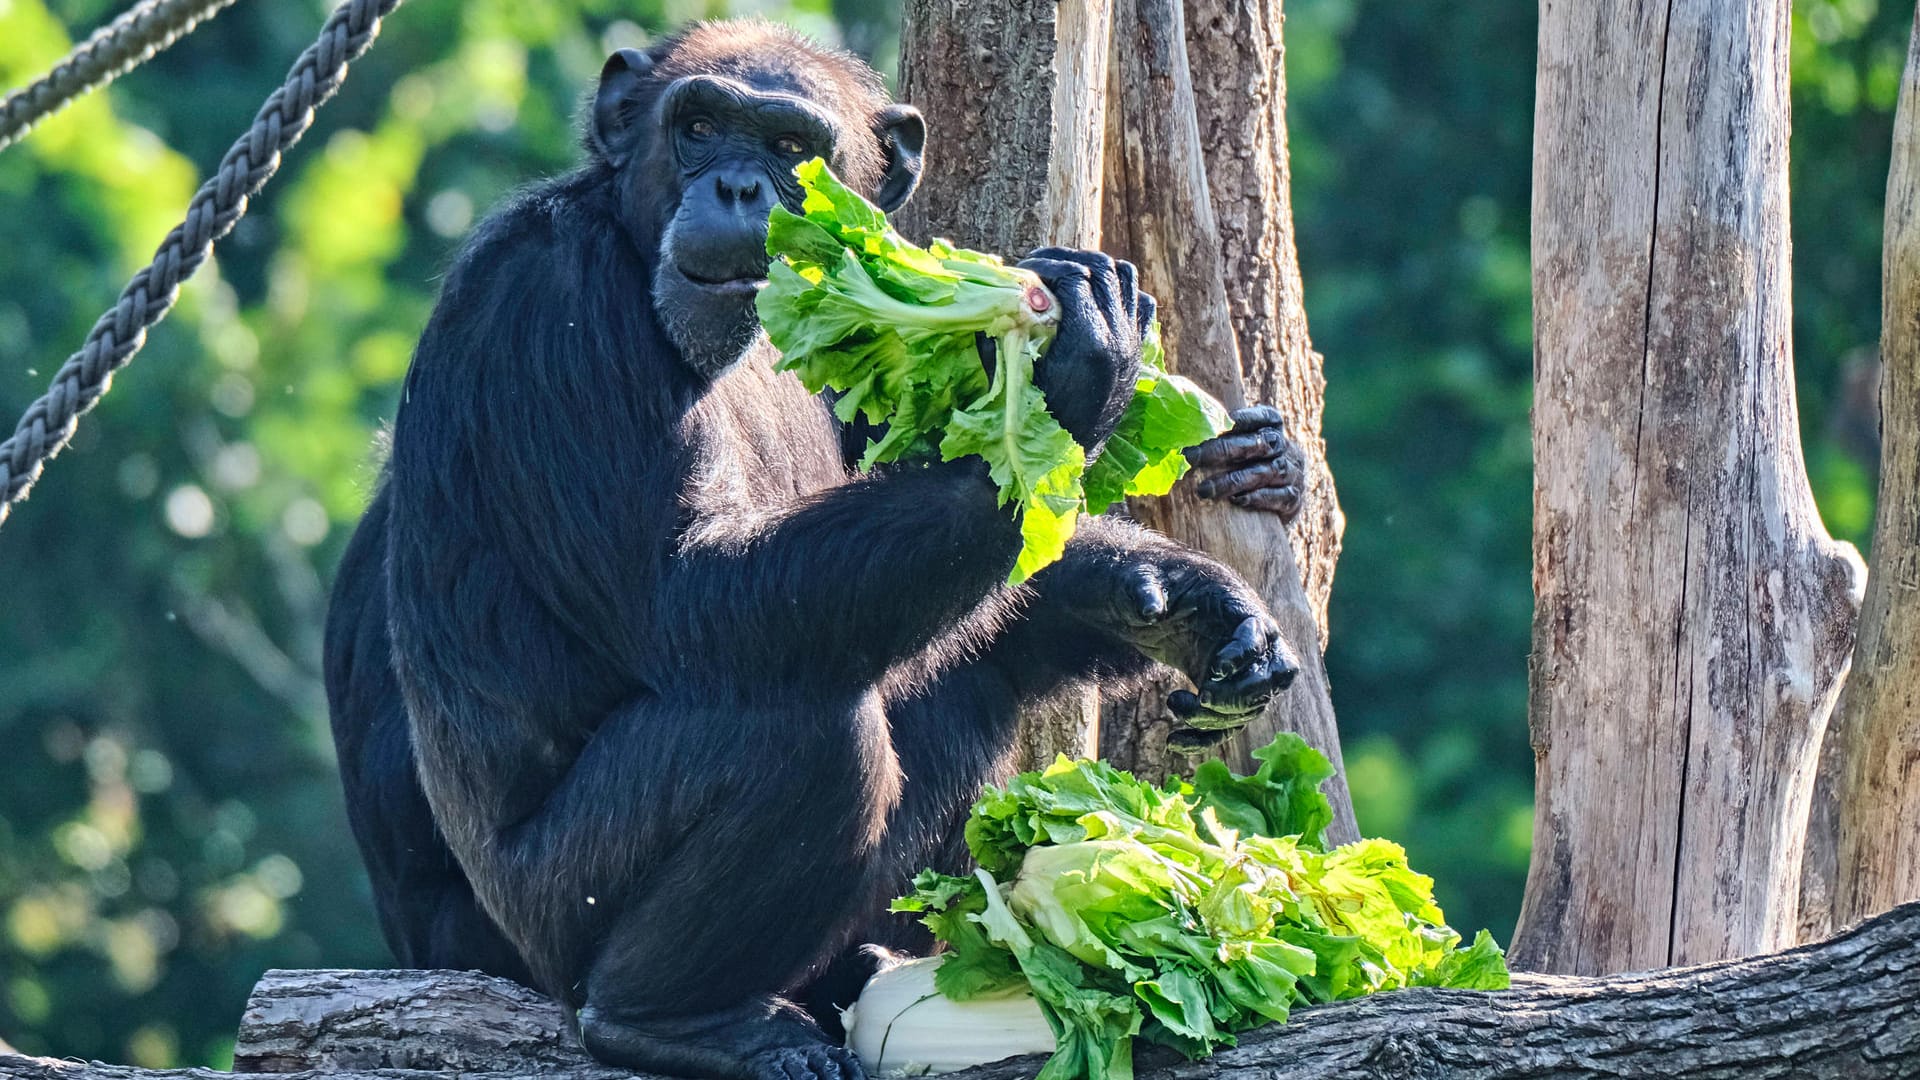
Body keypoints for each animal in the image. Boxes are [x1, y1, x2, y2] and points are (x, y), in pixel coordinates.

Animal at [330, 18, 1313, 1076]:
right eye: (699, 127)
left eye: (789, 147)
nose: (736, 188)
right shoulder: (548, 302)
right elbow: (686, 596)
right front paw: (1073, 365)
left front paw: (1189, 597)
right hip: (550, 912)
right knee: (801, 728)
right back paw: (671, 1018)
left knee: (966, 670)